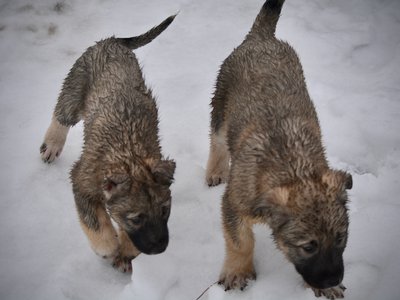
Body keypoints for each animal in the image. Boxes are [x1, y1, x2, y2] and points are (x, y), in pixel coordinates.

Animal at [40, 14, 177, 272]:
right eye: (136, 218)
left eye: (165, 211)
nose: (160, 248)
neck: (129, 155)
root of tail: (112, 41)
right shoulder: (81, 183)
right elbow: (94, 222)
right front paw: (107, 246)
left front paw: (126, 252)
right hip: (75, 88)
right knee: (61, 115)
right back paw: (51, 145)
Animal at [206, 1, 354, 298]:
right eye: (308, 247)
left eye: (340, 238)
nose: (332, 279)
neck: (293, 167)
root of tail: (261, 38)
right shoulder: (233, 204)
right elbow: (240, 242)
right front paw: (238, 272)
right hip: (220, 106)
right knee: (217, 142)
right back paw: (215, 170)